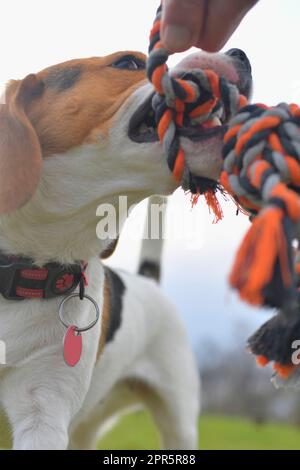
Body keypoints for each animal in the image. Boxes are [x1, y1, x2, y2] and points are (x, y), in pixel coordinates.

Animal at [0, 49, 252, 450]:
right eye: (128, 64)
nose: (237, 54)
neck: (25, 270)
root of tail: (148, 281)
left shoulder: (43, 413)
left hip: (178, 420)